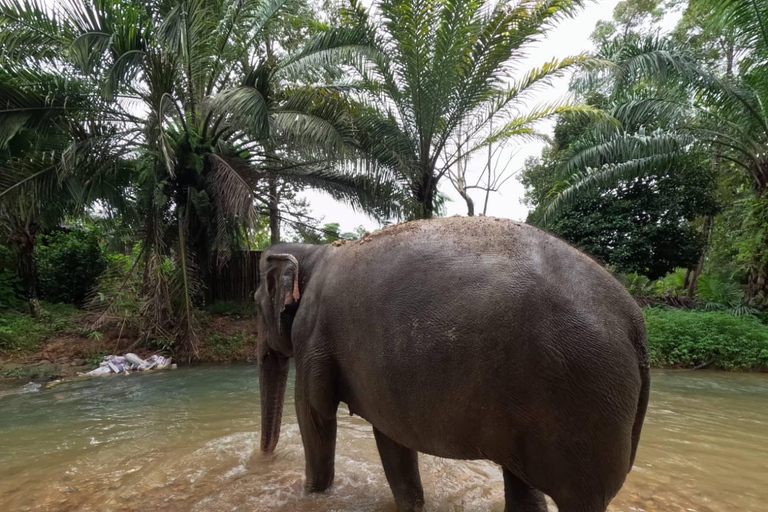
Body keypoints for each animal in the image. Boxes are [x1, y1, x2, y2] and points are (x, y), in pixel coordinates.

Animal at [255, 216, 652, 512]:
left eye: (255, 302)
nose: (262, 460)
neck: (312, 253)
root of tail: (635, 323)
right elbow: (391, 437)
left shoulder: (312, 335)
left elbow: (315, 416)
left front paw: (313, 495)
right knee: (522, 483)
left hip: (583, 401)